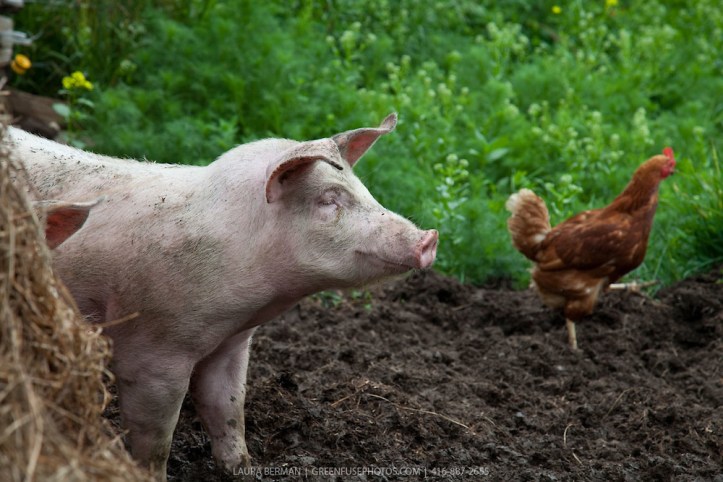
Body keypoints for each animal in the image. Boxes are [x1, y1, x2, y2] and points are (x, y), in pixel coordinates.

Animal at [7, 113, 438, 480]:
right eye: (329, 200)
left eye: (365, 193)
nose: (428, 238)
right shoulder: (151, 352)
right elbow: (156, 440)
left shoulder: (231, 345)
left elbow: (228, 410)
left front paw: (243, 470)